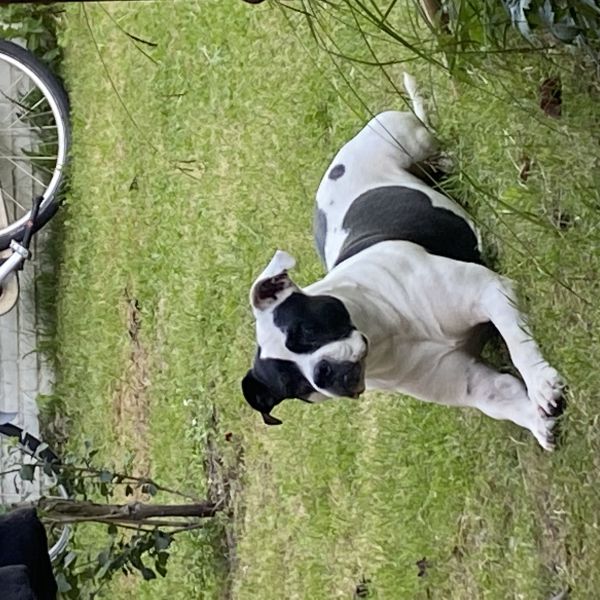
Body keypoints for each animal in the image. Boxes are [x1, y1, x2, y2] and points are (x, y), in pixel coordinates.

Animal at [241, 74, 564, 450]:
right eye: (295, 387)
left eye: (304, 331)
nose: (324, 374)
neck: (383, 329)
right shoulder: (469, 382)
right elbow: (506, 399)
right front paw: (538, 421)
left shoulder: (488, 291)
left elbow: (518, 346)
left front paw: (541, 383)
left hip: (411, 139)